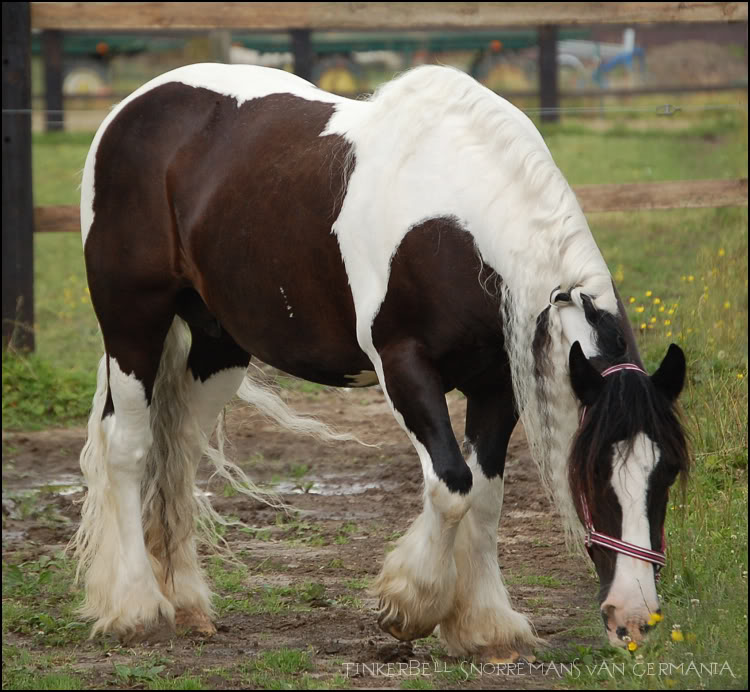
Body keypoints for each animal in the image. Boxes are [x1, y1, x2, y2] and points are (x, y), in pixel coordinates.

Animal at [73, 63, 692, 656]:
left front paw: (486, 628)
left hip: (217, 345)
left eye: (668, 471)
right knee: (128, 448)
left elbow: (486, 496)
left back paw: (186, 605)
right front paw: (410, 607)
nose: (634, 618)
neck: (457, 227)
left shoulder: (497, 385)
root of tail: (131, 108)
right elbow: (452, 485)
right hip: (133, 323)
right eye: (591, 473)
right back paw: (138, 610)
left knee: (177, 452)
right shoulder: (404, 367)